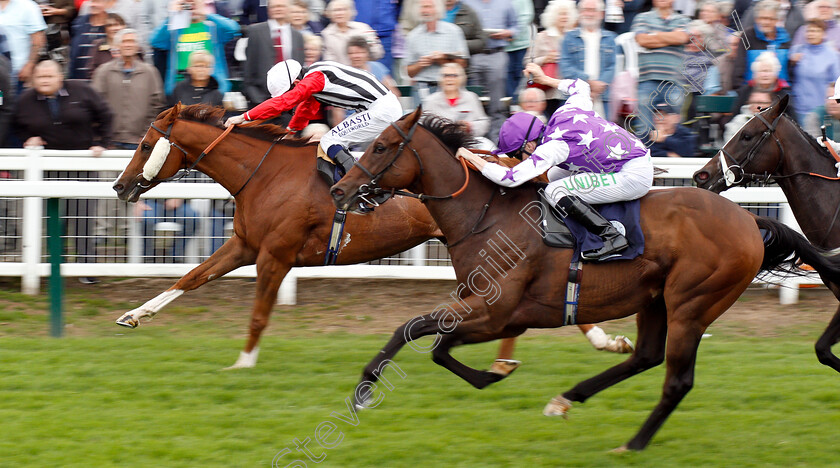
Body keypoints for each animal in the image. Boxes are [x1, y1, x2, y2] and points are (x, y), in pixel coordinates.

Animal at [110, 104, 624, 372]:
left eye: (143, 144)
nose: (119, 185)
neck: (263, 174)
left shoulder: (275, 254)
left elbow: (258, 313)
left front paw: (243, 363)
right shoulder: (245, 246)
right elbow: (191, 277)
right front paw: (133, 315)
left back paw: (598, 340)